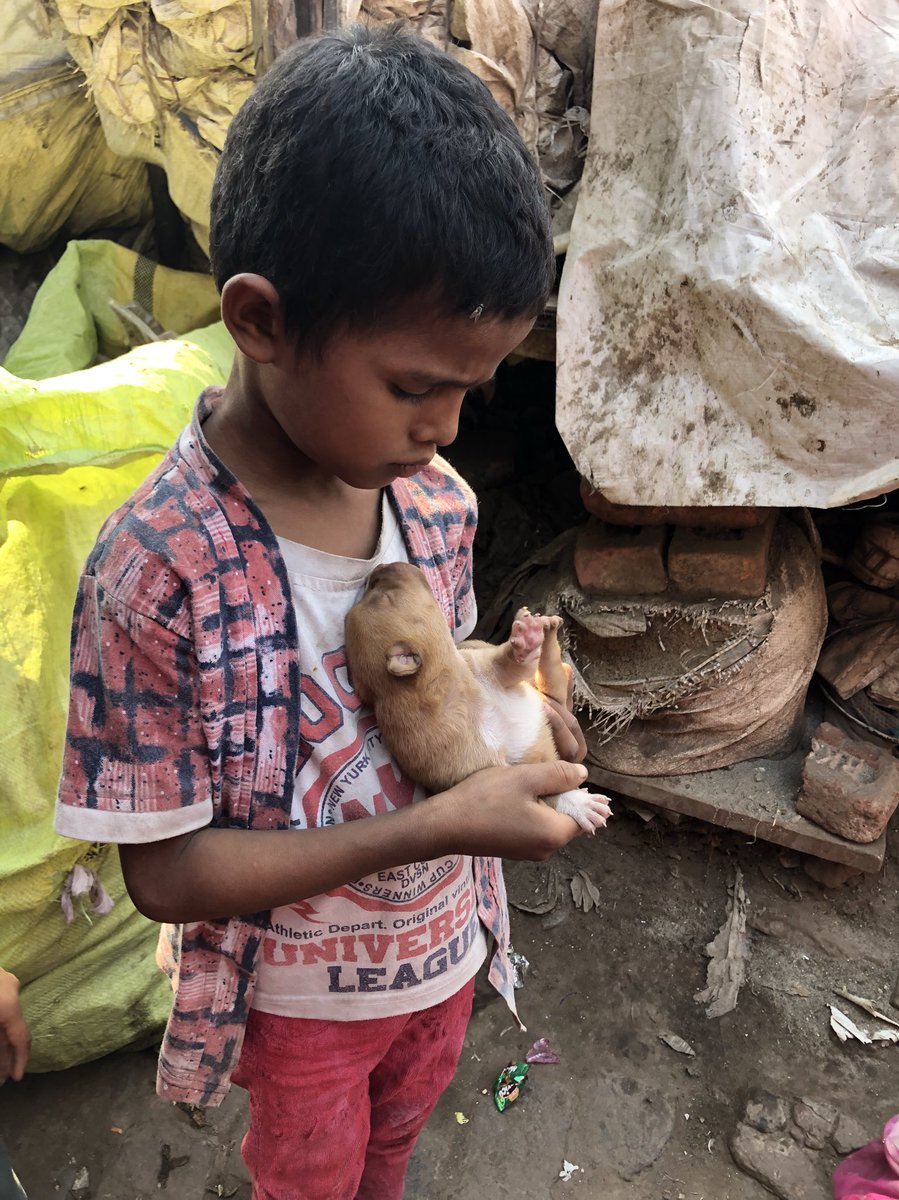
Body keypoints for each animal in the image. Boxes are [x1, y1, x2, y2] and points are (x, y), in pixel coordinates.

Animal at [344, 562, 611, 833]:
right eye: (384, 597)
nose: (380, 567)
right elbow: (549, 791)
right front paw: (580, 804)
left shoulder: (494, 669)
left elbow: (514, 661)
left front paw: (525, 639)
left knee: (551, 664)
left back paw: (542, 625)